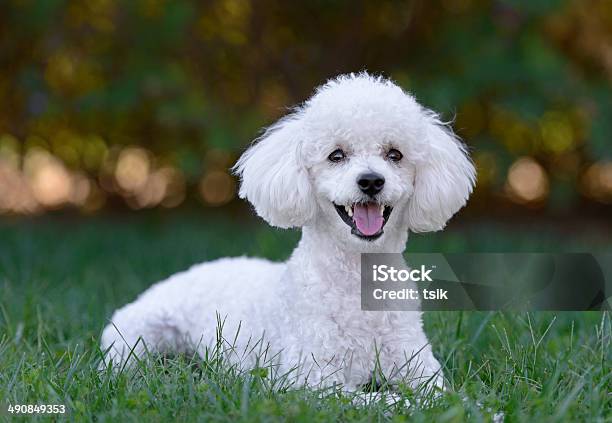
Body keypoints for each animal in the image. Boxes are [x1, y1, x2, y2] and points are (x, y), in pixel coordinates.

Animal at [100, 73, 476, 394]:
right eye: (336, 155)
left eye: (395, 154)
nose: (371, 181)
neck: (357, 277)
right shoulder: (315, 384)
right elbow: (385, 402)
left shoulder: (418, 366)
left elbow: (448, 399)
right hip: (137, 336)